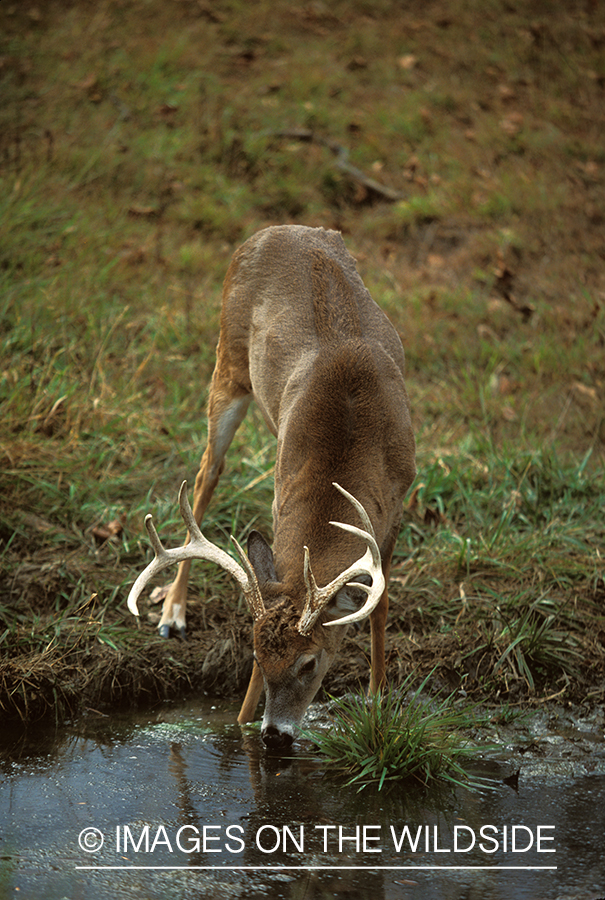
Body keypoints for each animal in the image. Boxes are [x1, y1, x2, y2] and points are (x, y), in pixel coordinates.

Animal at [127, 227, 416, 752]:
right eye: (257, 659)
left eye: (310, 662)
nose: (274, 736)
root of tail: (278, 229)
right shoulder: (284, 499)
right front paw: (240, 726)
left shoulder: (398, 500)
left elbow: (380, 605)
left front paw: (378, 701)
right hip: (226, 363)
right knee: (207, 473)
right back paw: (173, 613)